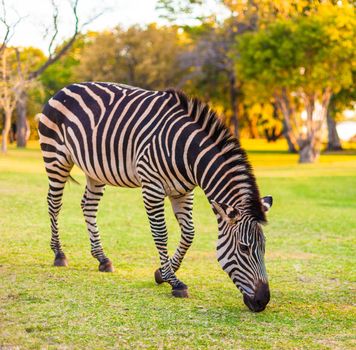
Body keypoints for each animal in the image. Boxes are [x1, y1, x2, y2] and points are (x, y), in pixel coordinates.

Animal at [38, 81, 272, 312]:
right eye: (244, 248)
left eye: (264, 247)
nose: (263, 301)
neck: (187, 153)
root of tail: (65, 88)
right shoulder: (152, 187)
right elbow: (161, 234)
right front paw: (173, 281)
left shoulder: (183, 191)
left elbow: (189, 233)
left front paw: (162, 273)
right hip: (56, 158)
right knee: (54, 203)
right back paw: (59, 254)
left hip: (95, 170)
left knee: (88, 206)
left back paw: (102, 259)